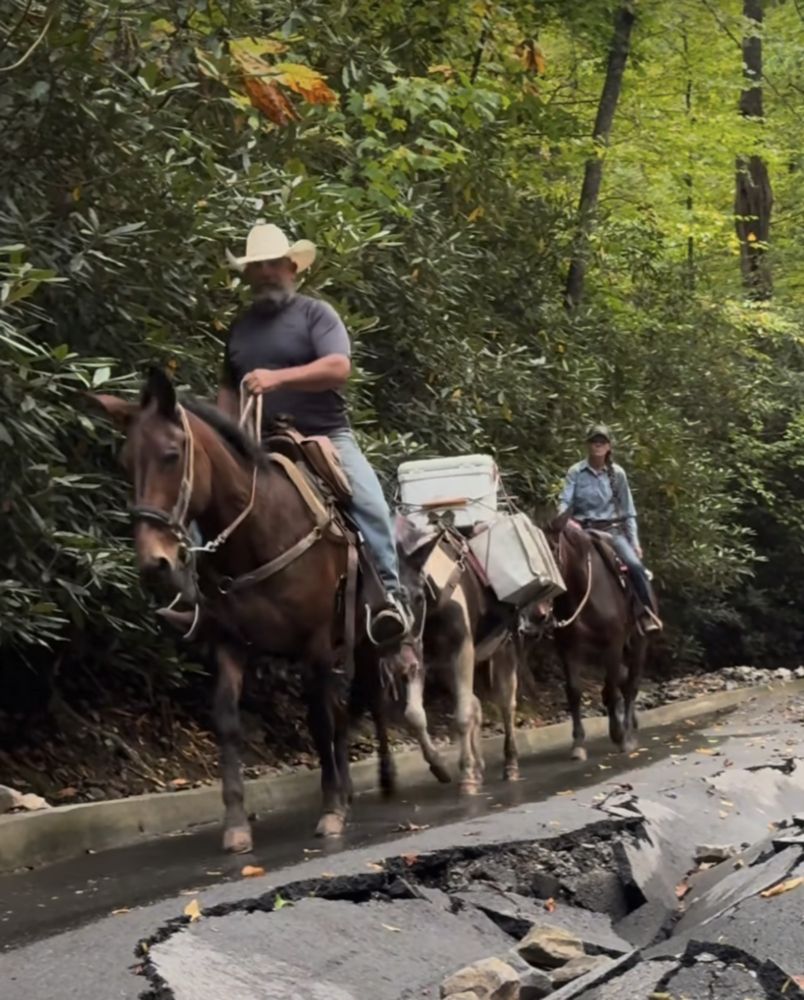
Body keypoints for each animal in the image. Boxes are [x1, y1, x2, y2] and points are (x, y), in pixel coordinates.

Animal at [92, 368, 394, 852]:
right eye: (124, 462)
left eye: (172, 455)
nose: (156, 564)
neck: (258, 531)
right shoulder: (229, 641)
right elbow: (228, 720)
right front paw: (235, 824)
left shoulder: (313, 645)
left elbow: (318, 722)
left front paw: (330, 812)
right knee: (344, 712)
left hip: (364, 642)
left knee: (358, 705)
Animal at [544, 516, 652, 756]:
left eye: (550, 548)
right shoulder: (568, 648)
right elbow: (574, 691)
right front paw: (578, 744)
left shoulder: (613, 644)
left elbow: (612, 689)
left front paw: (621, 736)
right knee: (622, 680)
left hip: (638, 645)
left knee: (631, 685)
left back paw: (628, 730)